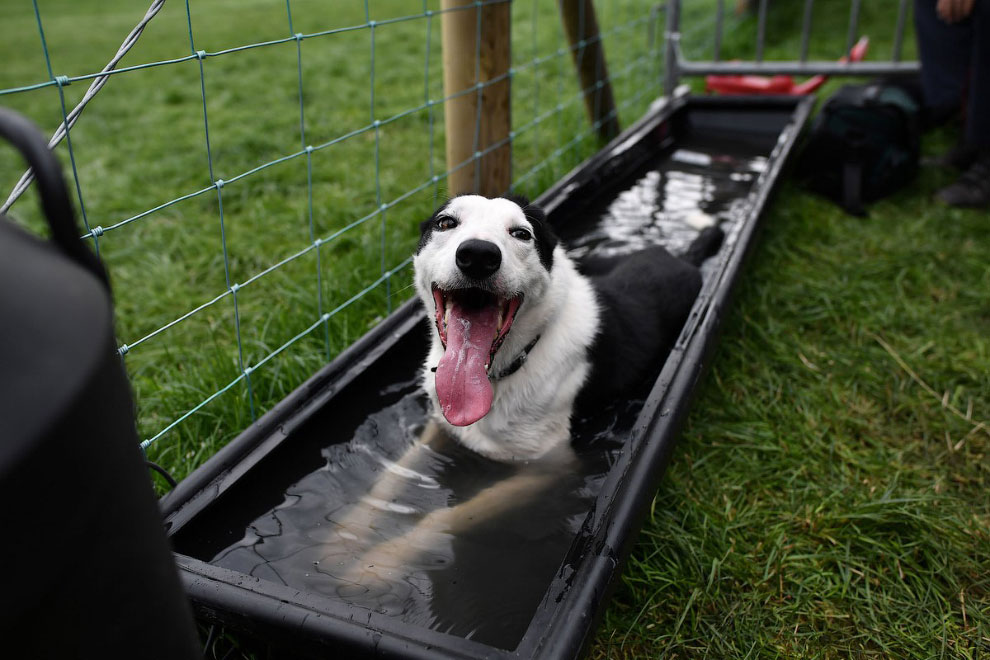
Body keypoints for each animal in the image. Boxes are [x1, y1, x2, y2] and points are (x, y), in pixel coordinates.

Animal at [414, 193, 724, 462]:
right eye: (445, 223)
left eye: (522, 234)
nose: (478, 255)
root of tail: (682, 258)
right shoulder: (439, 427)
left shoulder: (545, 462)